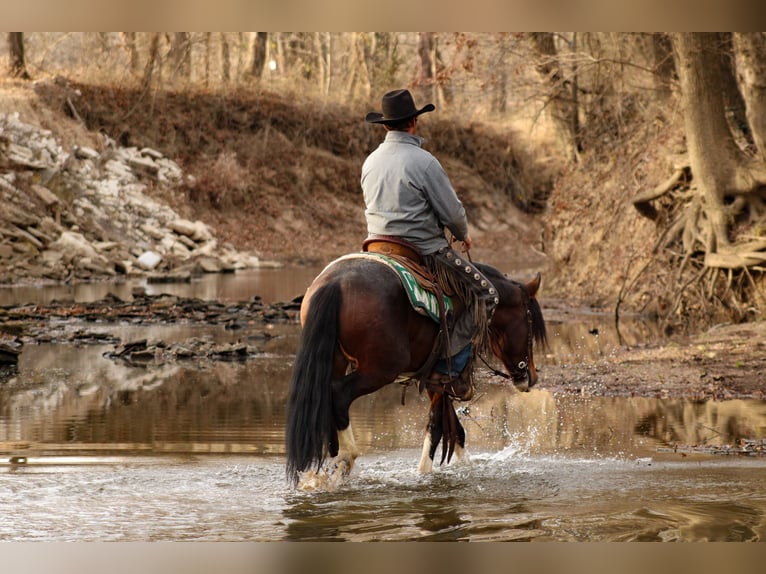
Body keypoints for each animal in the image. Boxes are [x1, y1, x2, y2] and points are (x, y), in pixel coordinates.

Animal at [285, 255, 547, 487]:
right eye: (530, 321)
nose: (531, 376)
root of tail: (336, 283)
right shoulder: (441, 379)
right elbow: (438, 426)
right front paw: (426, 473)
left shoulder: (434, 381)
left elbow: (454, 429)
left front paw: (464, 466)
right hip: (379, 370)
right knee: (338, 394)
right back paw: (346, 457)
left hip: (337, 362)